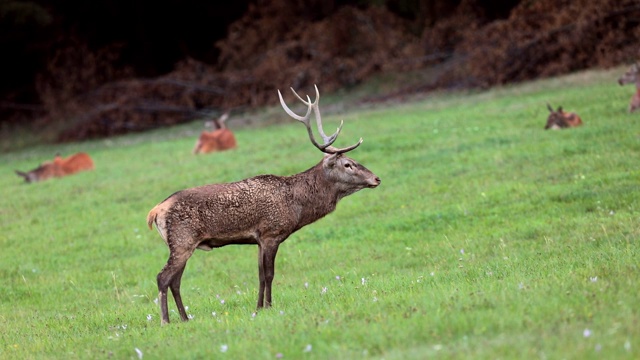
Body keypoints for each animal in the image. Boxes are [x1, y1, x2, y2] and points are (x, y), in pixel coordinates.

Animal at [148, 86, 382, 324]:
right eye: (348, 164)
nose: (376, 179)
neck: (296, 207)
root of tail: (155, 211)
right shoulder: (272, 232)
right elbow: (269, 274)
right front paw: (269, 306)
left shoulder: (258, 239)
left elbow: (260, 275)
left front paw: (258, 307)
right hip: (182, 240)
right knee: (162, 277)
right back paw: (165, 320)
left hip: (181, 244)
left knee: (175, 281)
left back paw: (185, 318)